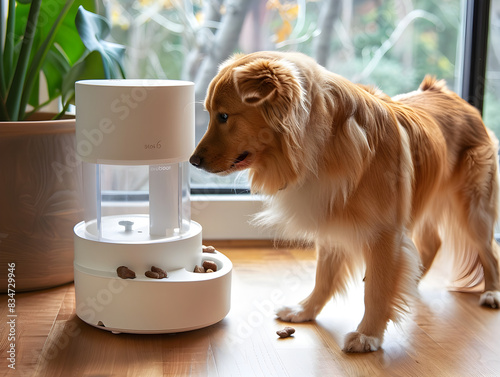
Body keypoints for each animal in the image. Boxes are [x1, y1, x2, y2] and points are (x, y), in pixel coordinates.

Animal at [188, 51, 500, 352]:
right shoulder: (331, 221)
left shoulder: (385, 233)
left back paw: (492, 291)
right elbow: (323, 277)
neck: (323, 143)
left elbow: (376, 289)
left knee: (489, 252)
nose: (193, 161)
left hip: (474, 211)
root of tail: (454, 96)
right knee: (433, 243)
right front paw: (305, 310)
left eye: (224, 116)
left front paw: (368, 334)